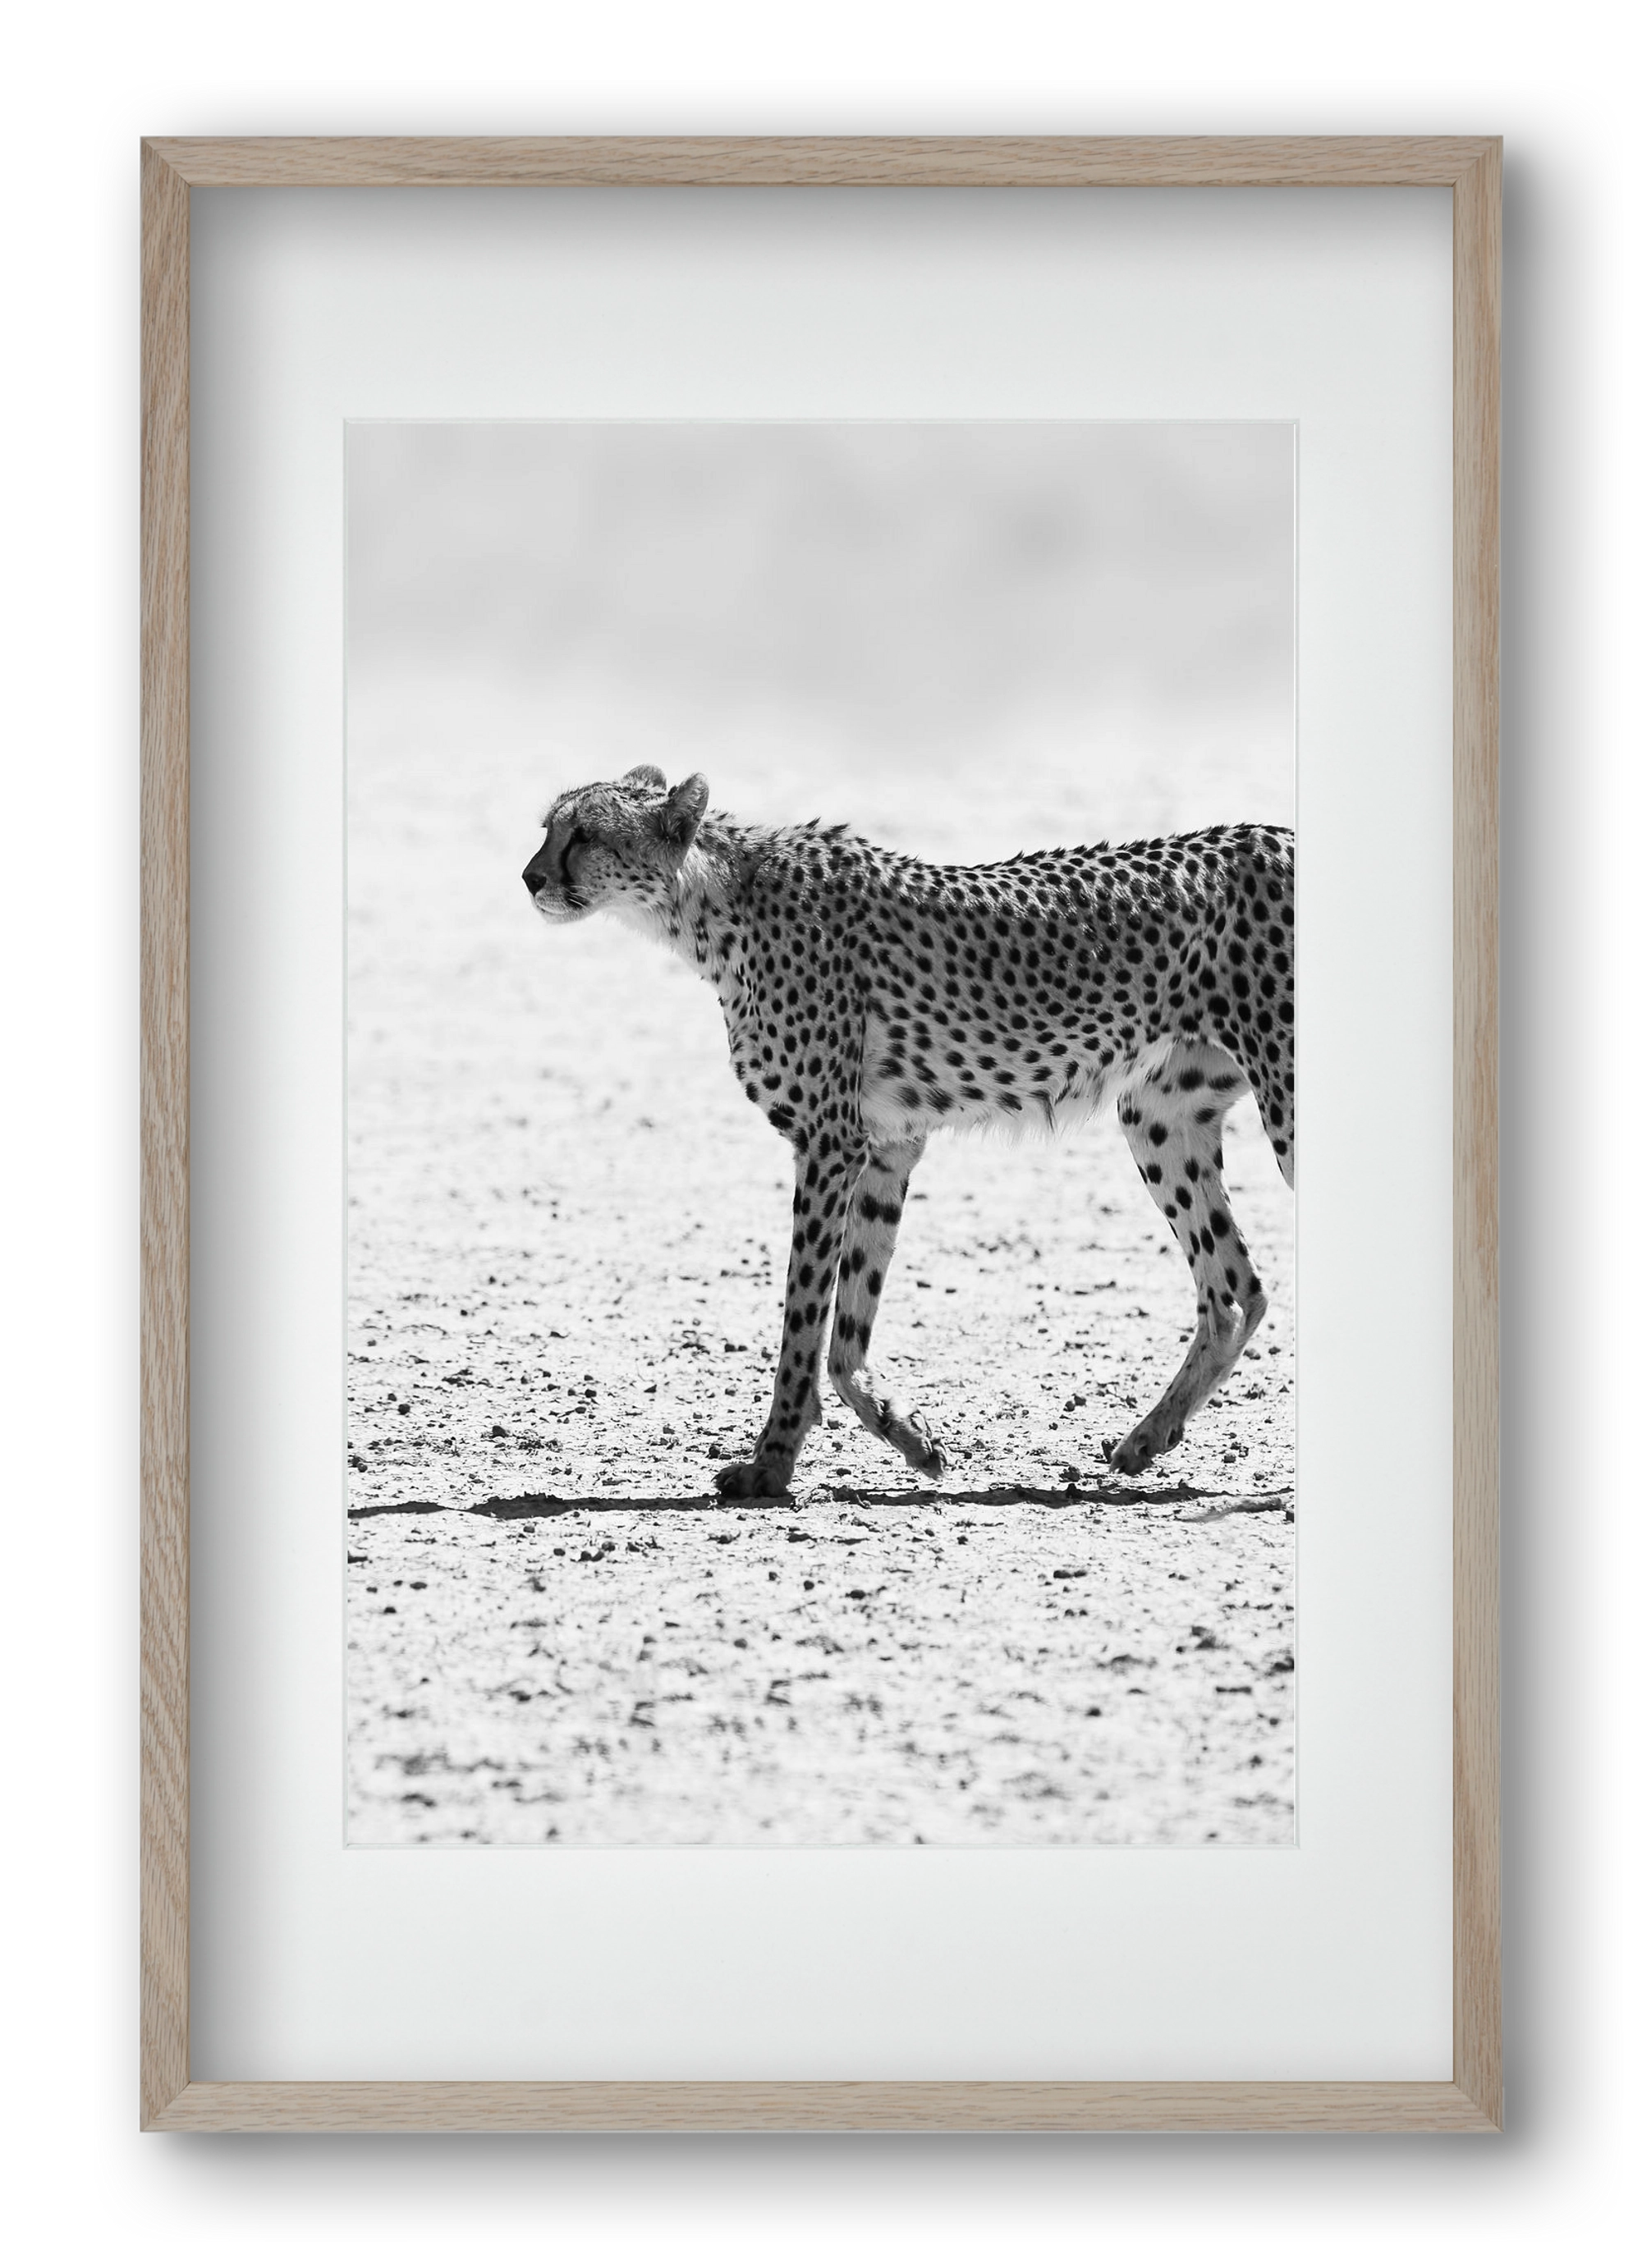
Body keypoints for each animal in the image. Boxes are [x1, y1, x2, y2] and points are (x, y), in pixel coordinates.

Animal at [524, 765, 1294, 1501]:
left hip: (1281, 1100)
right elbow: (846, 1330)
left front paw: (770, 1464)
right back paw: (1147, 1438)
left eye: (585, 834)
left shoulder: (829, 1142)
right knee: (1234, 1289)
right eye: (548, 828)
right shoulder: (886, 1146)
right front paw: (910, 1436)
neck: (711, 903)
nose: (530, 877)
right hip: (1159, 1115)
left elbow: (803, 1318)